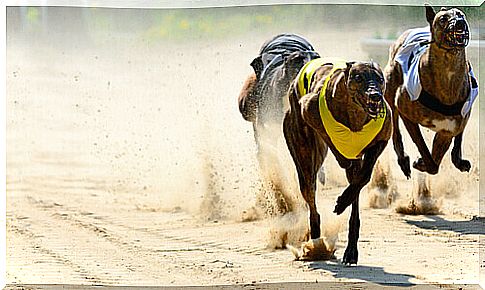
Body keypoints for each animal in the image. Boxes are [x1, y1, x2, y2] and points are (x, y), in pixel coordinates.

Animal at [282, 57, 392, 264]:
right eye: (358, 77)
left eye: (380, 79)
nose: (375, 96)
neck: (355, 113)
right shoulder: (309, 109)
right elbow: (329, 136)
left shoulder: (380, 140)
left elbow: (362, 177)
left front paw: (343, 201)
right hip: (303, 153)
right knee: (311, 197)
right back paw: (315, 244)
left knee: (353, 194)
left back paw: (350, 249)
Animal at [386, 5, 476, 178]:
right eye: (443, 19)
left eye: (460, 14)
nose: (460, 22)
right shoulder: (405, 110)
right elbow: (425, 150)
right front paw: (420, 162)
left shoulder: (446, 131)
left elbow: (435, 159)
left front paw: (423, 163)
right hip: (390, 88)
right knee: (395, 124)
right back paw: (403, 159)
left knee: (459, 134)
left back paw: (458, 159)